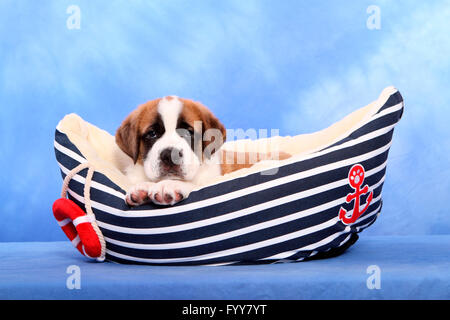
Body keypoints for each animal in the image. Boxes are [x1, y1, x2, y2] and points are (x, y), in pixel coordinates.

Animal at [116, 96, 290, 206]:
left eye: (189, 132)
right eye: (152, 134)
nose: (169, 155)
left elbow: (194, 184)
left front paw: (170, 185)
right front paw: (142, 188)